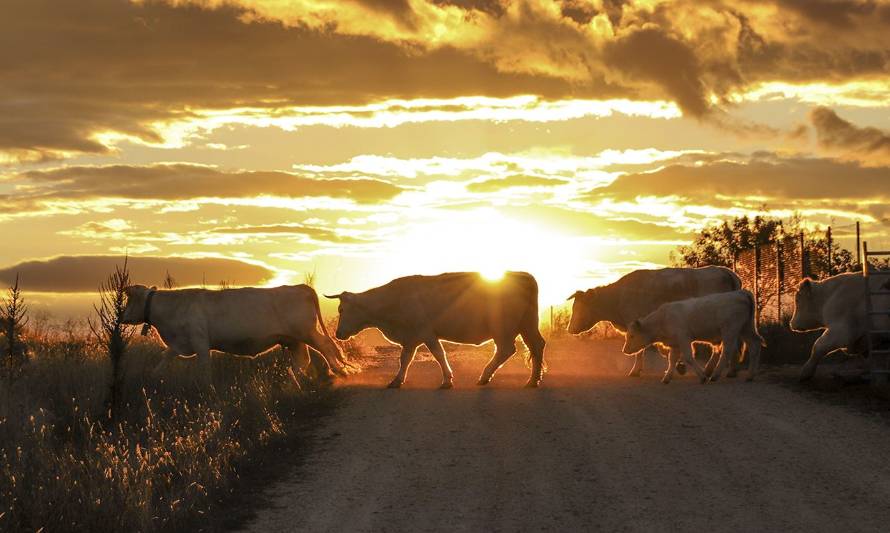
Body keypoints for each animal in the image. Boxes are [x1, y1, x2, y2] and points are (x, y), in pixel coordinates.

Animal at [118, 284, 340, 384]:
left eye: (129, 299)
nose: (121, 317)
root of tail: (300, 286)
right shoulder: (180, 343)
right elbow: (166, 357)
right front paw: (154, 375)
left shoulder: (200, 341)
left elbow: (204, 368)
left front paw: (206, 387)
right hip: (293, 339)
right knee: (303, 359)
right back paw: (297, 379)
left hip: (306, 331)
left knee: (327, 346)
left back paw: (339, 371)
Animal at [322, 272, 544, 388]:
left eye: (341, 309)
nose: (338, 334)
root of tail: (520, 274)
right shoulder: (411, 338)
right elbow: (405, 359)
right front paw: (397, 380)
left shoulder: (425, 332)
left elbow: (438, 354)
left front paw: (447, 380)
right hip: (527, 324)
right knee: (536, 345)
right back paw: (533, 380)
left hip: (503, 327)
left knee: (507, 349)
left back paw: (485, 376)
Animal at [564, 264, 740, 376]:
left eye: (579, 308)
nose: (569, 329)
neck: (618, 297)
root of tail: (724, 271)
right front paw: (678, 364)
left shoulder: (635, 324)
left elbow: (640, 350)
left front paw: (636, 371)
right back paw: (728, 370)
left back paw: (716, 369)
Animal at [616, 290, 764, 382]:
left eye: (632, 336)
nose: (625, 350)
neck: (662, 319)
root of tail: (741, 293)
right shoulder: (675, 344)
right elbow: (672, 360)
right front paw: (667, 378)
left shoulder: (684, 338)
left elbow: (688, 357)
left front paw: (702, 376)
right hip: (746, 329)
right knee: (755, 345)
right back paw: (750, 375)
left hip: (730, 331)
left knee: (727, 351)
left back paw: (715, 375)